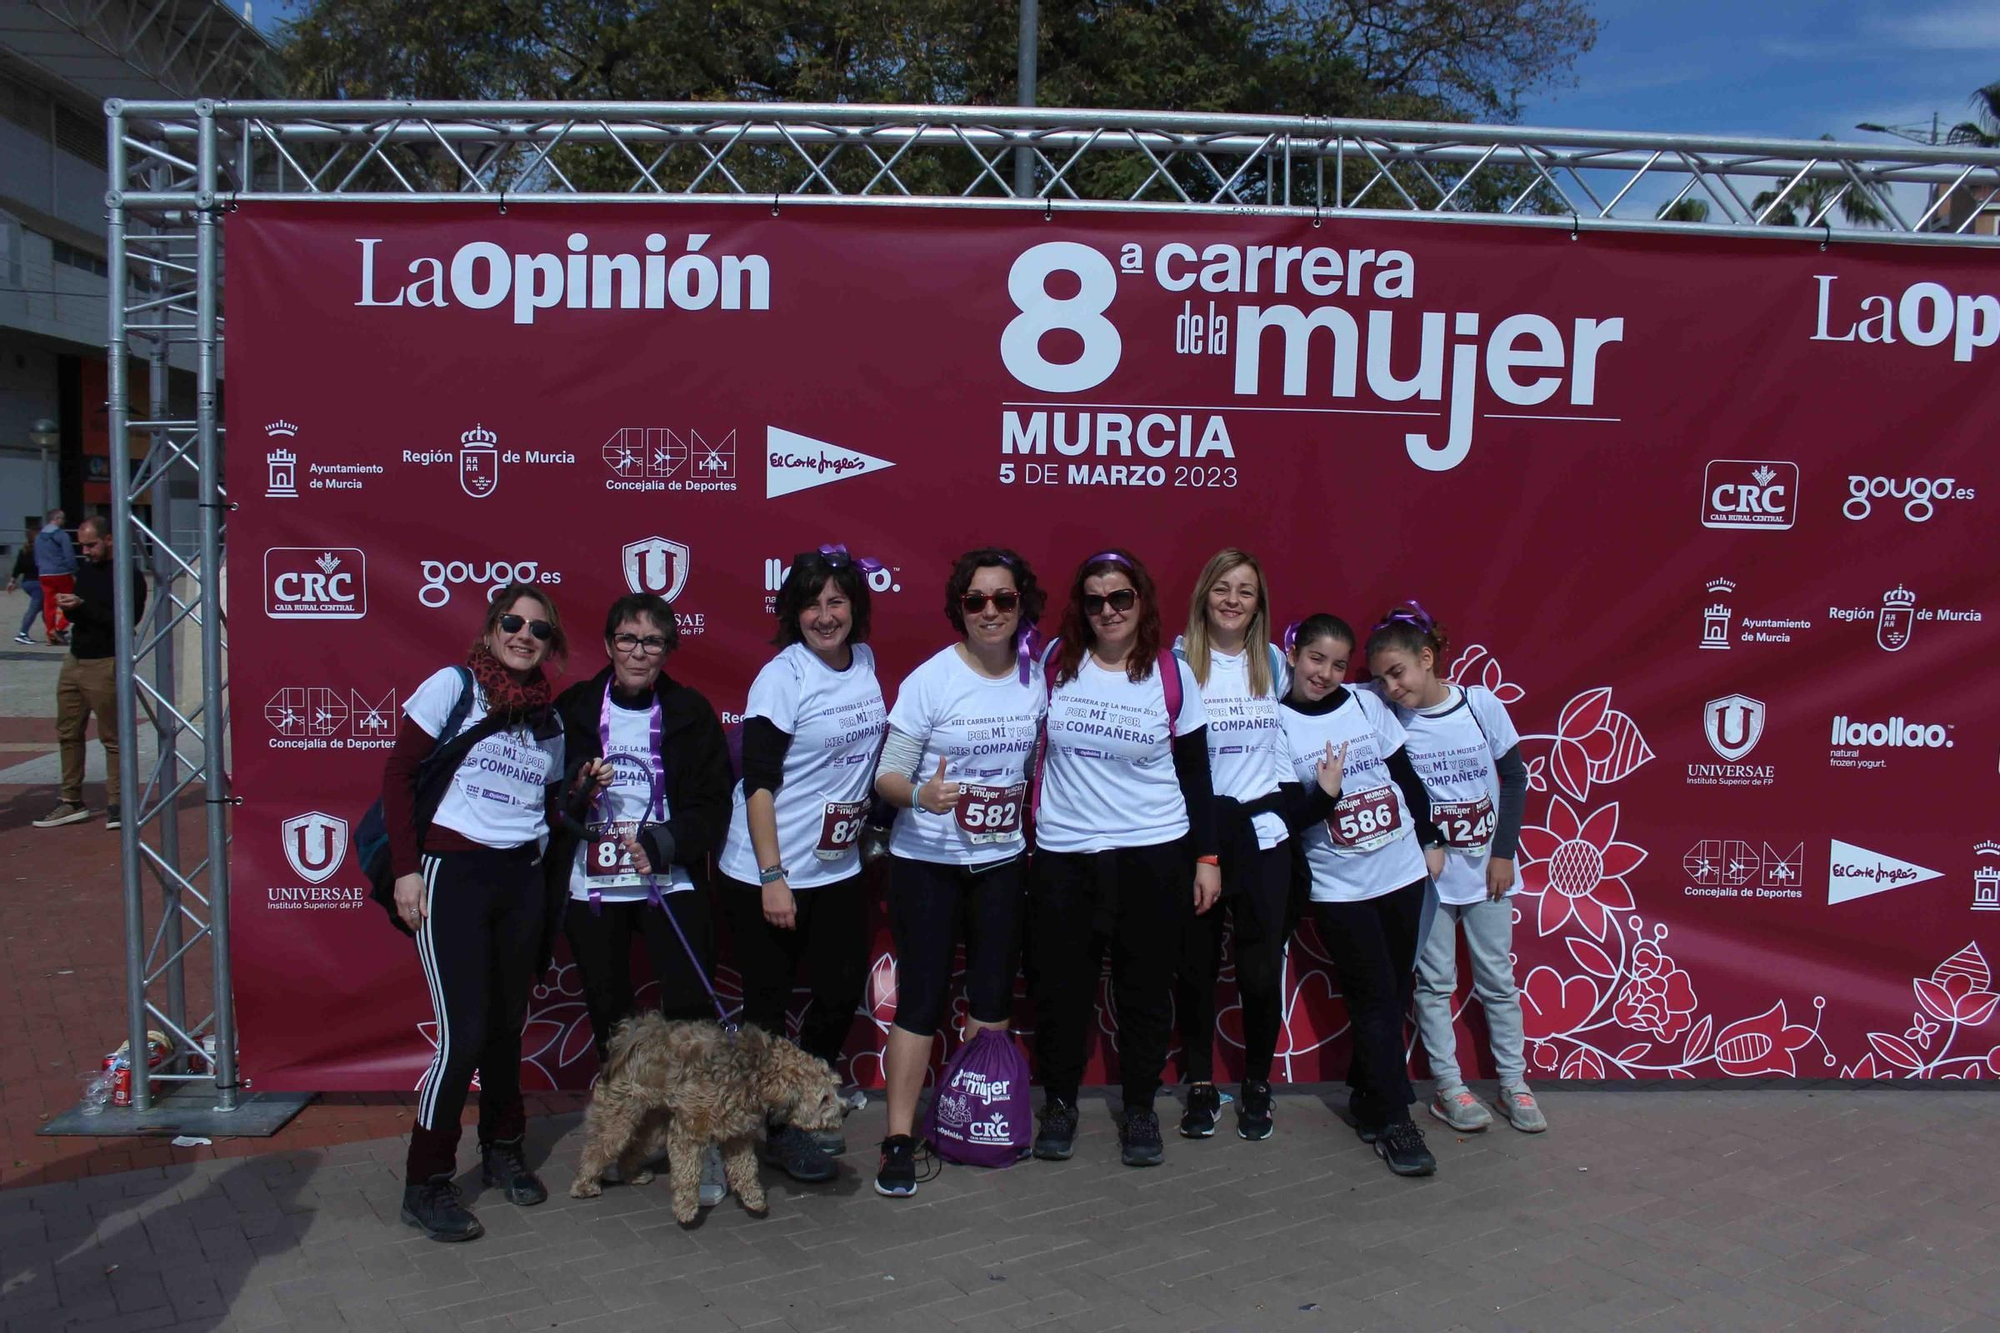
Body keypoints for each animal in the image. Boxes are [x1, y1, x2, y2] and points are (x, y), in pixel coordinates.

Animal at [568, 1012, 840, 1216]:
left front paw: (753, 1197)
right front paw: (686, 1208)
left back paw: (632, 1174)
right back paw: (584, 1184)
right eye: (824, 1099)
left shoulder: (737, 1134)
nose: (845, 1110)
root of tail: (632, 1036)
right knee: (597, 1148)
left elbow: (746, 1167)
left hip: (654, 1122)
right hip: (620, 1116)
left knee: (634, 1148)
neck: (752, 1073)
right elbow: (687, 1172)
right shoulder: (688, 1131)